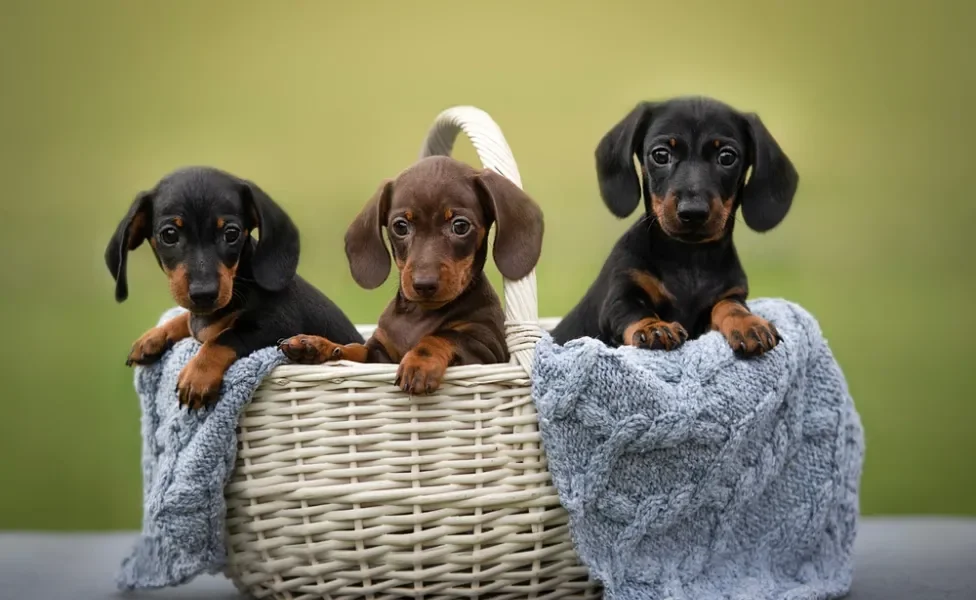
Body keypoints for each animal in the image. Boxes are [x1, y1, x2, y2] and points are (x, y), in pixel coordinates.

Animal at [105, 166, 362, 410]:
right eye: (169, 234)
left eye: (231, 233)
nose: (204, 294)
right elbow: (185, 320)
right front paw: (153, 336)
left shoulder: (275, 325)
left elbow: (223, 337)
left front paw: (197, 375)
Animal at [278, 157, 544, 396]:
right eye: (400, 226)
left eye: (460, 226)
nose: (424, 284)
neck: (418, 316)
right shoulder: (378, 356)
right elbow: (354, 350)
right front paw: (316, 345)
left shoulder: (486, 348)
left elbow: (442, 336)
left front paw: (419, 362)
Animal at [552, 95, 796, 354]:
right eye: (661, 154)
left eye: (727, 157)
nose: (693, 212)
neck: (688, 258)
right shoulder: (620, 294)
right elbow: (633, 310)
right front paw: (654, 327)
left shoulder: (730, 295)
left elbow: (730, 306)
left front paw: (749, 324)